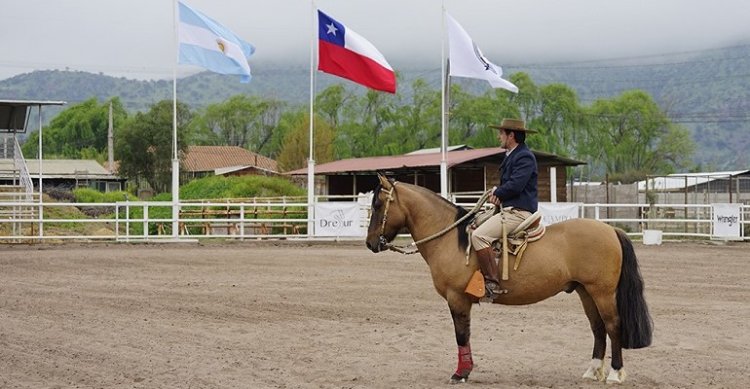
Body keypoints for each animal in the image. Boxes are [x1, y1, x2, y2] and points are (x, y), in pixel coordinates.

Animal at [364, 174, 652, 384]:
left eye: (377, 205)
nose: (370, 243)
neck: (452, 238)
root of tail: (611, 230)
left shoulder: (457, 299)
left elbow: (461, 335)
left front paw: (461, 373)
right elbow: (464, 335)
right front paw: (465, 370)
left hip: (602, 292)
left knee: (613, 326)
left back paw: (615, 373)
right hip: (585, 292)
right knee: (598, 328)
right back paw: (592, 371)